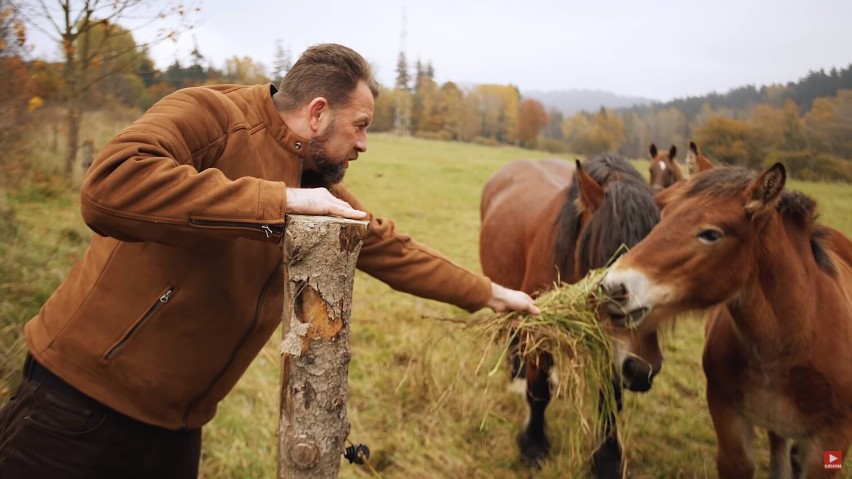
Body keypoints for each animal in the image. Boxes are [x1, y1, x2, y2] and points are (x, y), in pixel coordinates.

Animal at [482, 156, 664, 478]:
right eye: (605, 271)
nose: (642, 370)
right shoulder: (540, 329)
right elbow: (538, 391)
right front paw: (534, 446)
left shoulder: (610, 345)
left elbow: (610, 400)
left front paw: (607, 459)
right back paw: (517, 375)